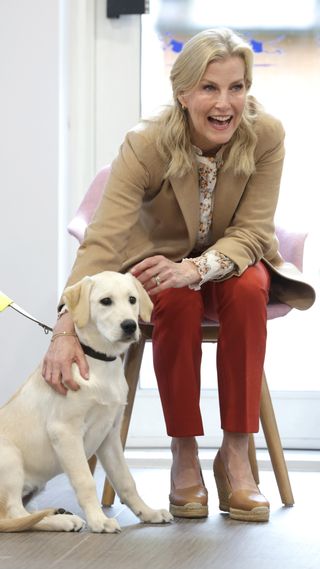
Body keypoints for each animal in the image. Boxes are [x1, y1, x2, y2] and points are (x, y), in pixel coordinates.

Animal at [0, 270, 172, 532]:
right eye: (105, 301)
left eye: (132, 299)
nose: (130, 325)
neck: (100, 362)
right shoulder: (65, 431)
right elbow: (86, 481)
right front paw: (99, 520)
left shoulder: (110, 435)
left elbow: (126, 480)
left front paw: (148, 513)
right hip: (9, 457)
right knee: (14, 515)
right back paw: (63, 520)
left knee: (21, 515)